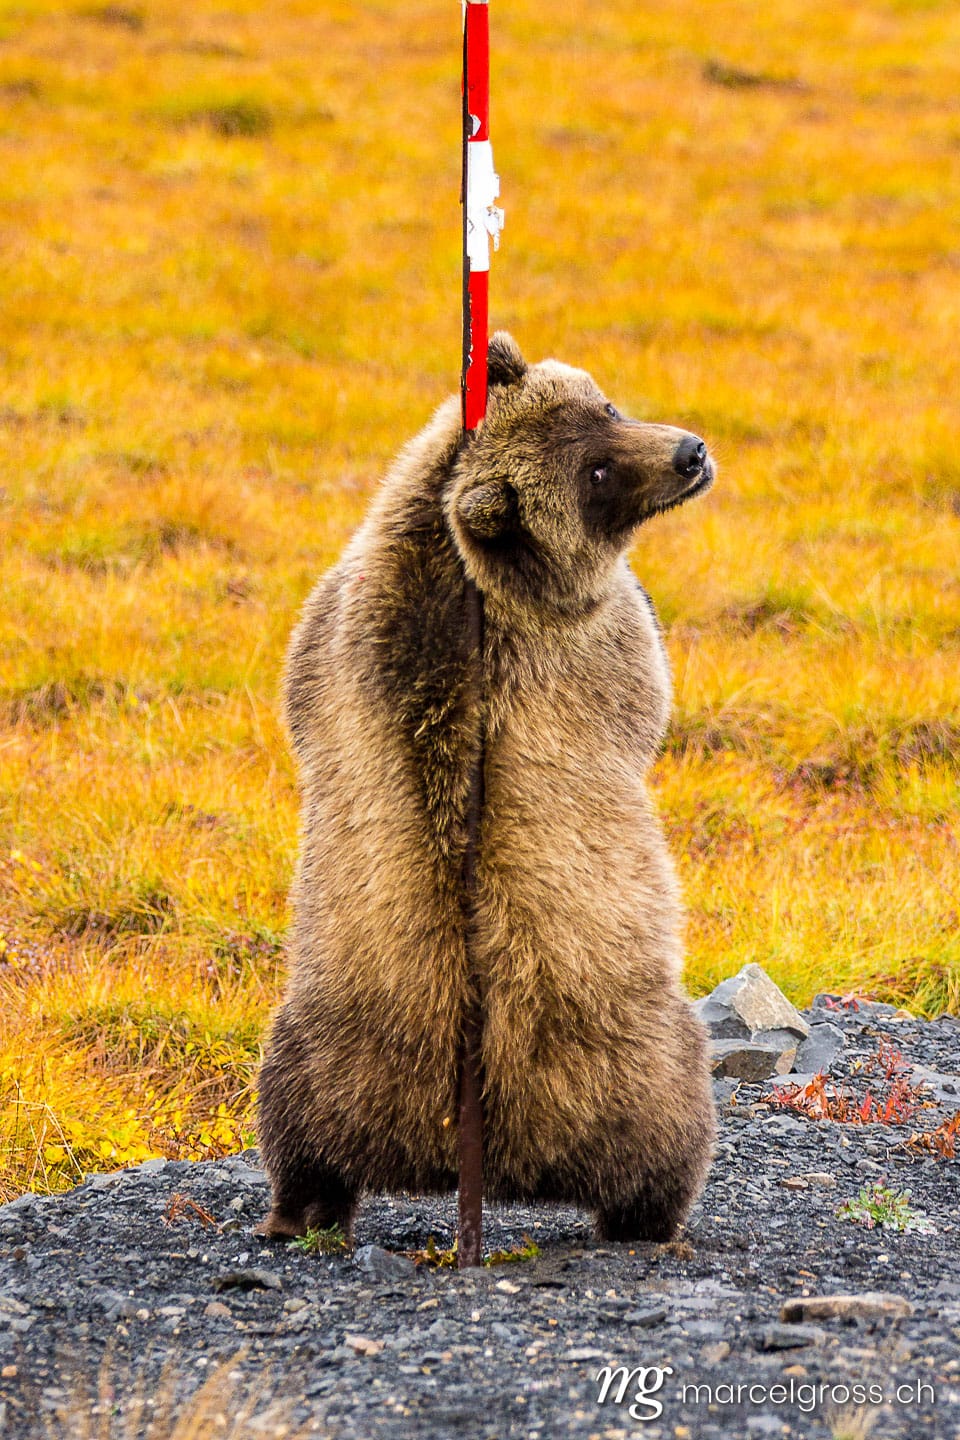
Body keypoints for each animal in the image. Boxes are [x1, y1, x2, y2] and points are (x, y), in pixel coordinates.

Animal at [257, 332, 717, 1245]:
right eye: (595, 474)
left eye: (606, 408)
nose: (689, 453)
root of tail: (466, 1132)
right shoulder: (588, 645)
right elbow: (647, 683)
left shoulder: (330, 632)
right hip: (623, 1060)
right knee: (667, 1131)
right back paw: (657, 1219)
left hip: (329, 1044)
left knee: (299, 1132)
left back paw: (295, 1211)